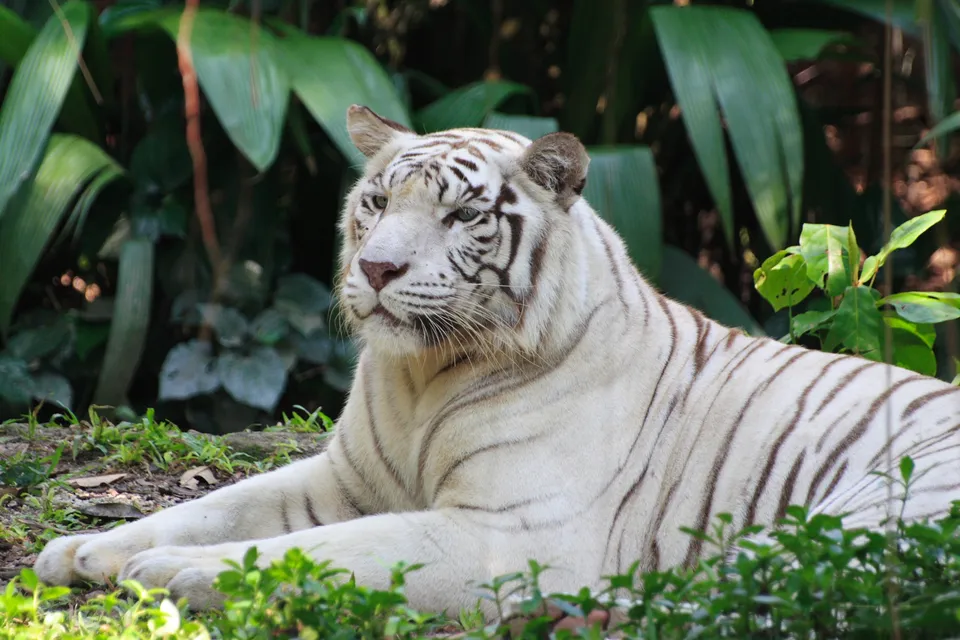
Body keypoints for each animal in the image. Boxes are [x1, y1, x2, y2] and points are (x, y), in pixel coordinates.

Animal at [34, 104, 960, 618]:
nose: (378, 268)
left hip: (861, 516)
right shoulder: (342, 481)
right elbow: (216, 508)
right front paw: (83, 552)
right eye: (377, 202)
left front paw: (171, 573)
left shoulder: (505, 530)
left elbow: (329, 552)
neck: (420, 377)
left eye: (461, 216)